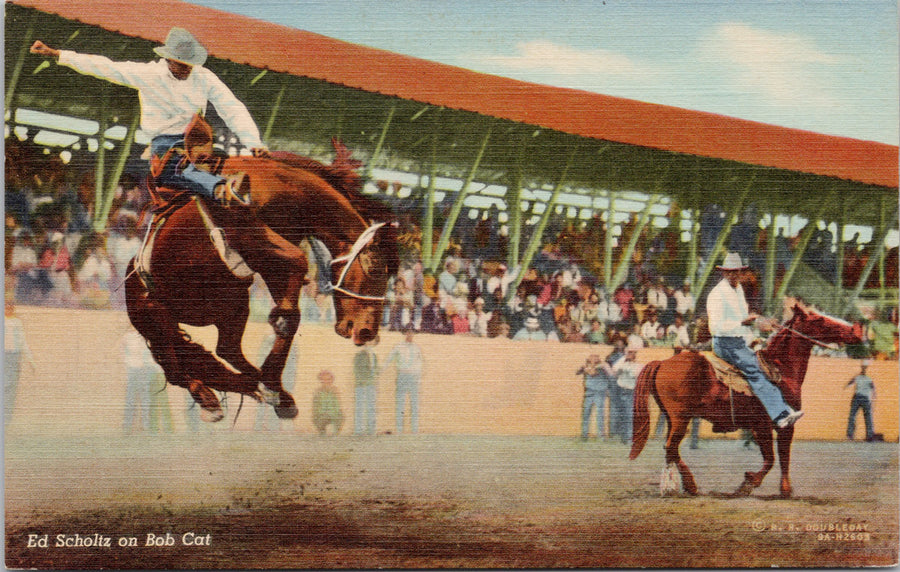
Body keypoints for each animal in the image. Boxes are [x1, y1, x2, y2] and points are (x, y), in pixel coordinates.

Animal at [125, 122, 398, 424]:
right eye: (376, 268)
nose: (367, 332)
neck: (288, 192)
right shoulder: (251, 240)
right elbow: (298, 265)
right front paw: (273, 365)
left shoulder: (272, 263)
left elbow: (291, 306)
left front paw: (273, 381)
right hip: (156, 320)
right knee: (176, 370)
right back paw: (211, 398)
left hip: (231, 305)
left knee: (226, 350)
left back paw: (263, 387)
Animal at [628, 306, 860, 498]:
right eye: (819, 319)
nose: (855, 330)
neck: (781, 370)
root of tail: (662, 362)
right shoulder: (776, 425)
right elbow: (776, 458)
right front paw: (760, 485)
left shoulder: (760, 427)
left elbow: (775, 457)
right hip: (680, 419)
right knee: (671, 447)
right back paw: (688, 485)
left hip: (671, 418)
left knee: (670, 449)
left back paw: (679, 486)